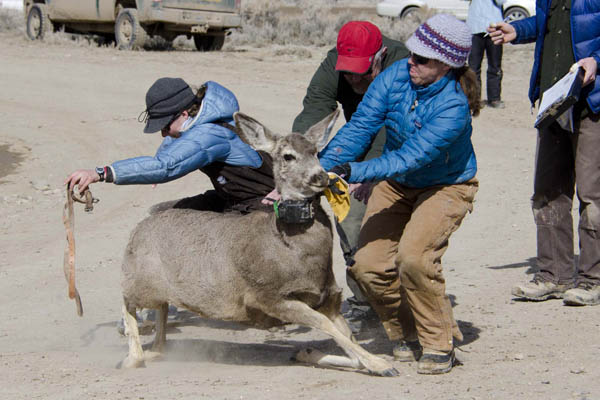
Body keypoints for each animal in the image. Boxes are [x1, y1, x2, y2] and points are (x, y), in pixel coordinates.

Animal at [119, 111, 398, 376]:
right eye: (288, 156)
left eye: (315, 152)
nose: (320, 176)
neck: (292, 251)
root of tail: (138, 229)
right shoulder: (269, 296)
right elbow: (327, 326)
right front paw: (382, 364)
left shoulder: (328, 298)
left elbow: (347, 338)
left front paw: (309, 353)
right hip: (139, 278)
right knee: (127, 300)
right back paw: (132, 357)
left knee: (161, 312)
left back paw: (153, 350)